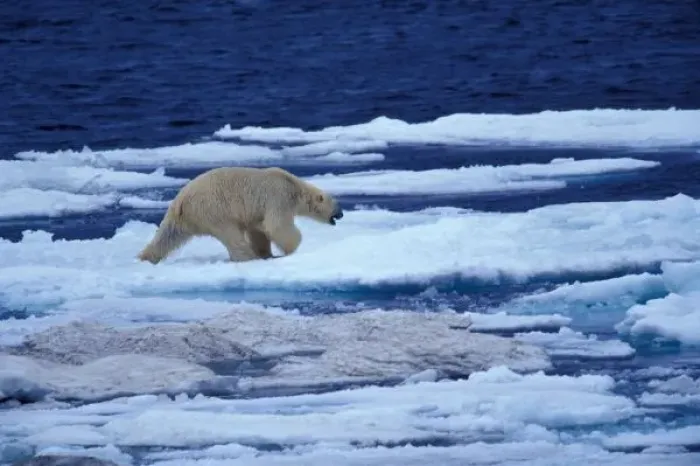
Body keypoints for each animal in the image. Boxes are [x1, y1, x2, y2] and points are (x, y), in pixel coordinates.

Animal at [136, 166, 343, 264]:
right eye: (336, 204)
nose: (341, 214)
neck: (294, 186)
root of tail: (180, 201)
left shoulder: (257, 210)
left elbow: (258, 230)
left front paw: (266, 253)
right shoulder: (278, 197)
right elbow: (276, 225)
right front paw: (290, 249)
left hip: (184, 217)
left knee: (167, 235)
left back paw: (145, 257)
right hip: (214, 209)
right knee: (231, 235)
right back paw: (248, 257)